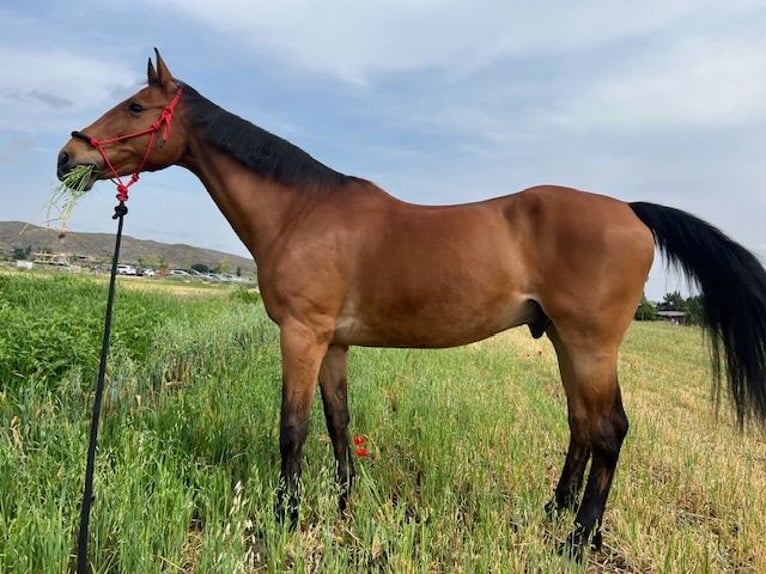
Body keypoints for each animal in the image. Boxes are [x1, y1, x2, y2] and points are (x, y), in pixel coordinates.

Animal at [57, 50, 766, 559]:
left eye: (135, 105)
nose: (68, 156)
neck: (302, 211)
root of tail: (630, 211)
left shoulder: (301, 334)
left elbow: (292, 428)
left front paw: (286, 517)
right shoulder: (334, 342)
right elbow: (338, 423)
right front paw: (344, 507)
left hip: (592, 345)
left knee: (609, 430)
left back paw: (578, 539)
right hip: (568, 342)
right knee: (581, 427)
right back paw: (554, 512)